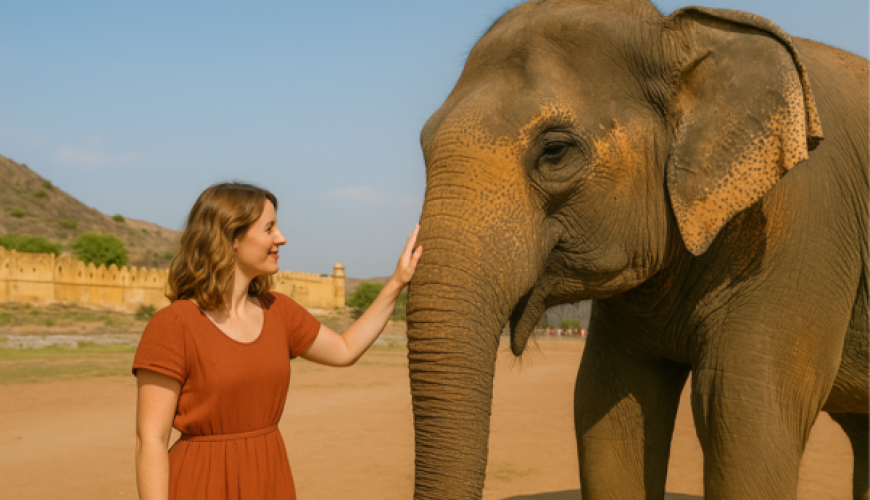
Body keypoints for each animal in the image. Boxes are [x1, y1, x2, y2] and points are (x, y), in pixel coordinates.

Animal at [405, 1, 868, 499]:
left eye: (555, 151)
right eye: (423, 146)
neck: (677, 33)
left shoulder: (802, 230)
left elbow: (744, 417)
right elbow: (608, 406)